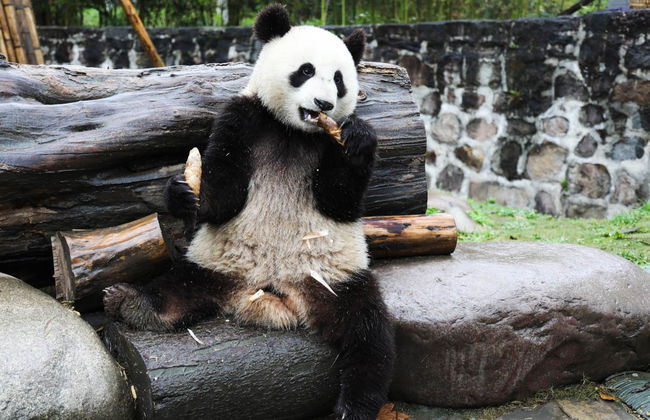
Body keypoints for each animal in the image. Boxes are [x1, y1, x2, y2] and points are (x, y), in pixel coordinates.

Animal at [103, 4, 395, 419]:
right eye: (306, 70)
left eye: (339, 80)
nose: (323, 105)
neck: (295, 132)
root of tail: (271, 291)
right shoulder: (243, 119)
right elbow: (225, 195)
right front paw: (183, 194)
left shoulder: (327, 145)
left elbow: (339, 202)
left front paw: (357, 139)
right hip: (213, 261)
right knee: (179, 284)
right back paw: (134, 304)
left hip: (334, 278)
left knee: (369, 337)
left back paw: (353, 407)